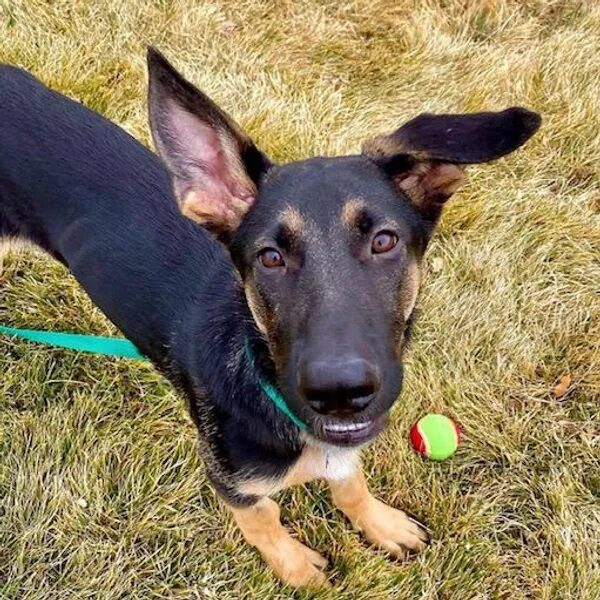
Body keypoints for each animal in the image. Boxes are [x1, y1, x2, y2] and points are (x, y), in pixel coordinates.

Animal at [0, 50, 540, 584]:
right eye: (270, 258)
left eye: (384, 241)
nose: (339, 393)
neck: (261, 374)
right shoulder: (231, 480)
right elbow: (263, 520)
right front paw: (296, 567)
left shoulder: (341, 448)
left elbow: (349, 482)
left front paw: (379, 523)